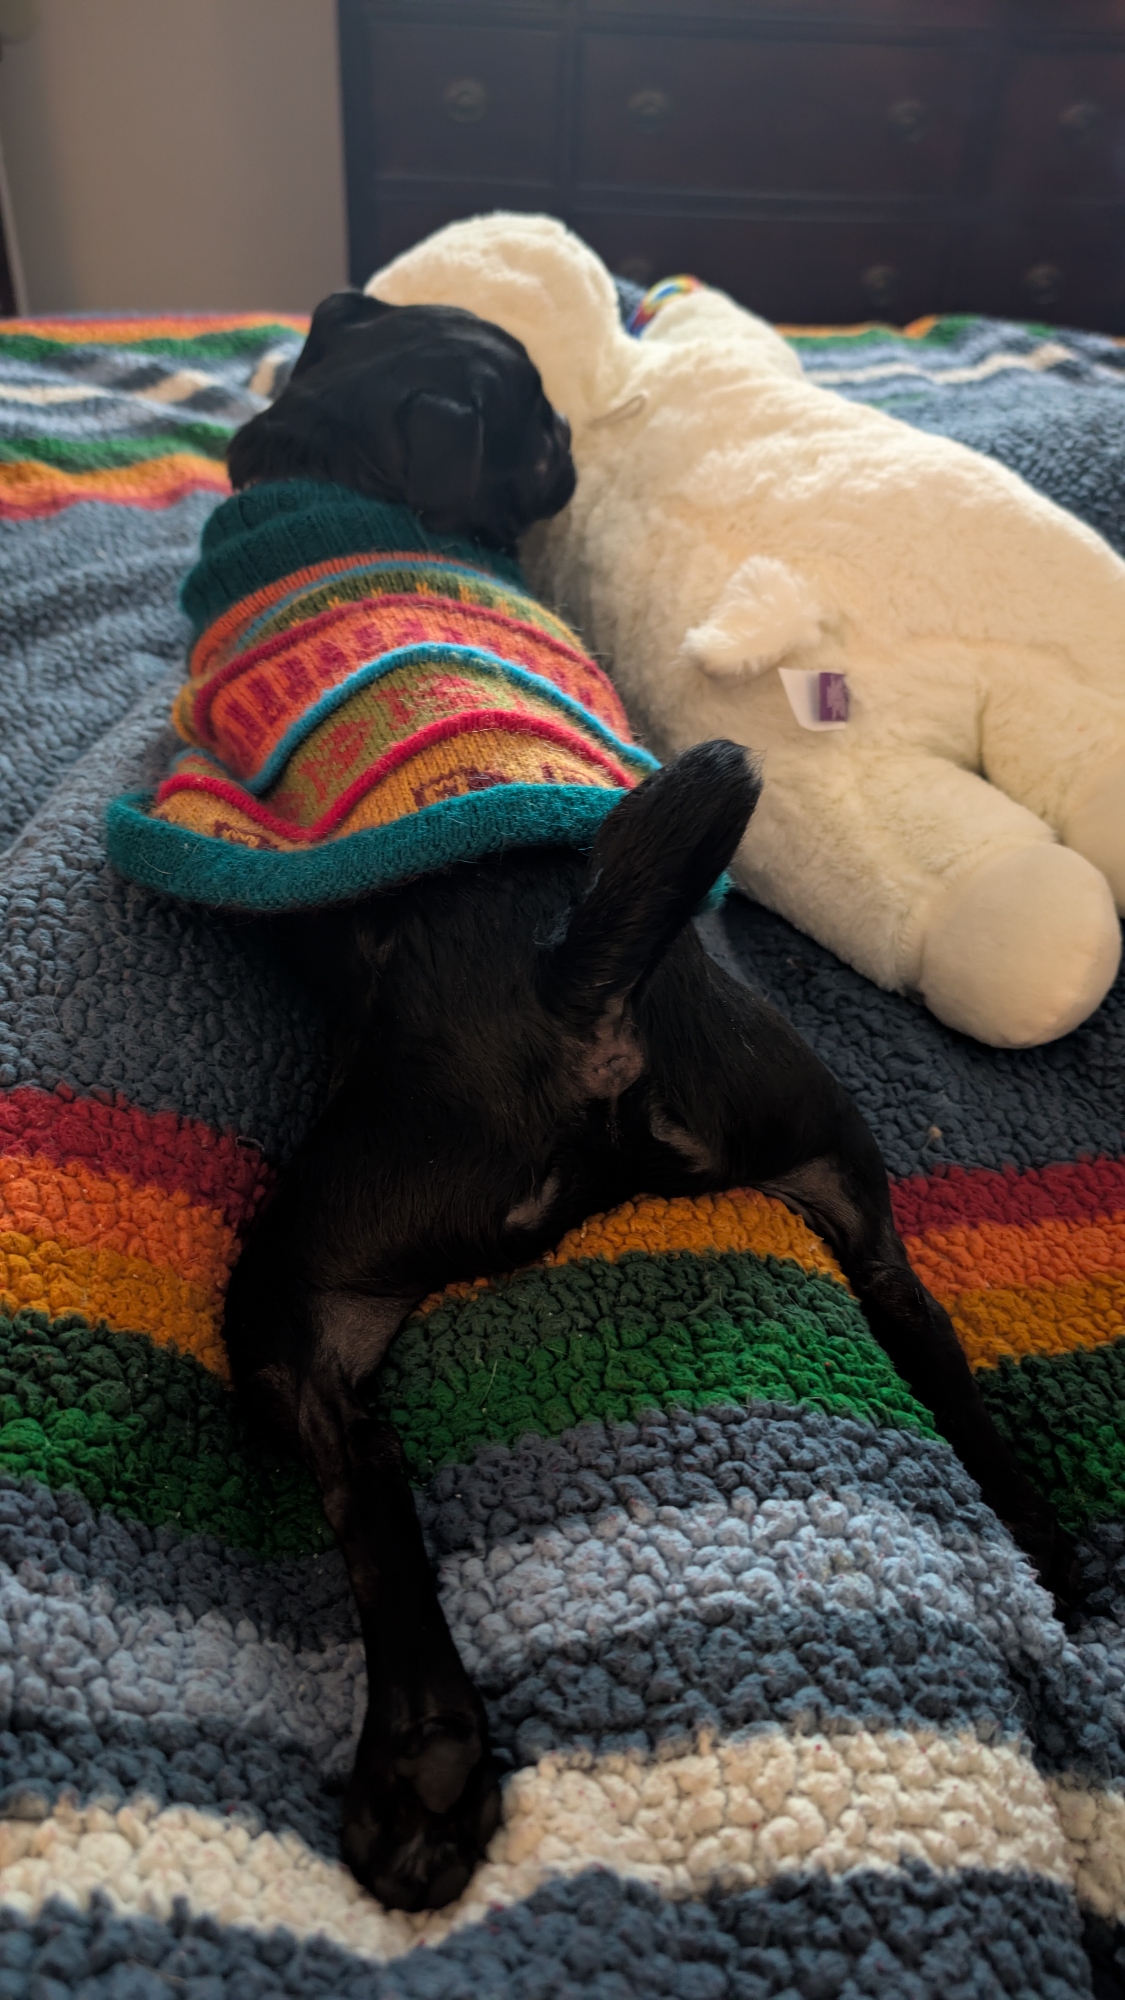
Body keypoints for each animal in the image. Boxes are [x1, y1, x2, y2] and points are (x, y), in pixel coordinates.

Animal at [219, 290, 1078, 1915]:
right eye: (534, 423)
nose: (569, 447)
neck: (338, 456)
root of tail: (580, 984)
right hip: (817, 1146)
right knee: (916, 1320)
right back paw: (1054, 1553)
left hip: (298, 1279)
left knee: (371, 1499)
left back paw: (418, 1775)